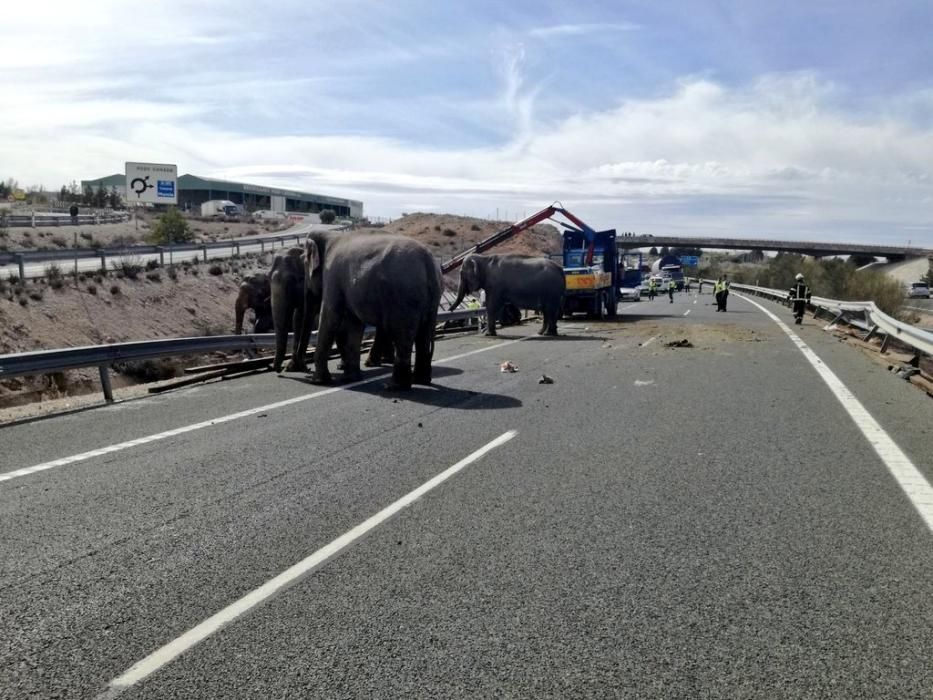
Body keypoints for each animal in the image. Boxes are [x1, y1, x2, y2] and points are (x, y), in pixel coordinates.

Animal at [294, 234, 440, 388]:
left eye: (305, 265)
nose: (304, 369)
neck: (330, 236)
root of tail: (428, 262)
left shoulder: (332, 275)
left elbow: (330, 316)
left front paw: (319, 382)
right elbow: (354, 324)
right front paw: (350, 379)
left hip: (404, 297)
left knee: (402, 335)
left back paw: (394, 387)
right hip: (428, 300)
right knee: (424, 336)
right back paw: (420, 381)